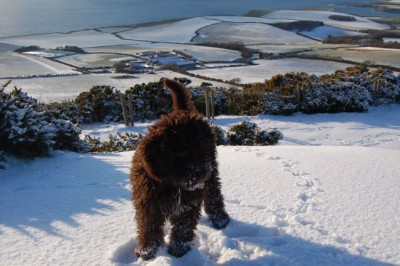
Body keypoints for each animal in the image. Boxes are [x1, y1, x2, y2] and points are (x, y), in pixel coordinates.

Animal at [130, 77, 230, 260]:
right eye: (182, 155)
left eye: (204, 151)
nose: (201, 174)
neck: (171, 184)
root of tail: (183, 111)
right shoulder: (147, 201)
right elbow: (148, 226)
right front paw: (147, 250)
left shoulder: (189, 202)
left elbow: (184, 226)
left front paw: (178, 249)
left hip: (212, 175)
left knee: (214, 194)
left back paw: (220, 218)